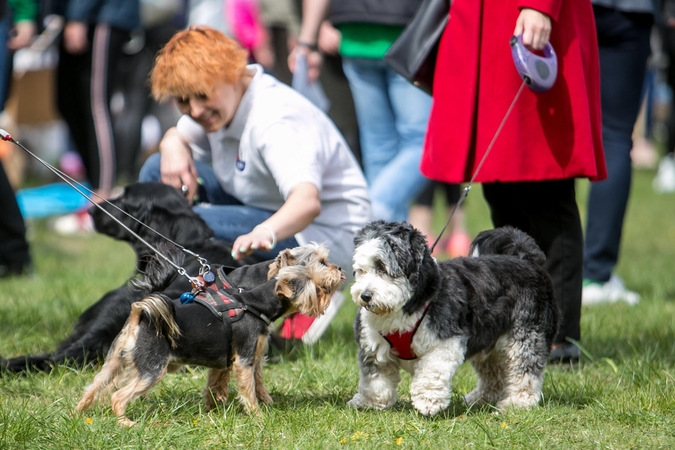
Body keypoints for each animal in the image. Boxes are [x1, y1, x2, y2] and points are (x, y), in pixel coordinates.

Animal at [76, 243, 346, 426]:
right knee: (117, 396)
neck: (253, 300)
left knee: (94, 385)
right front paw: (258, 416)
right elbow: (249, 388)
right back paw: (126, 422)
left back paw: (78, 413)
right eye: (321, 264)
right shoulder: (245, 359)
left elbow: (219, 385)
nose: (340, 268)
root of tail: (139, 314)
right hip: (151, 369)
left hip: (114, 361)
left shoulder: (230, 358)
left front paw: (214, 411)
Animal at [348, 221, 560, 414]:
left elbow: (431, 372)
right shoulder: (373, 345)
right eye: (361, 270)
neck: (404, 307)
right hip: (488, 342)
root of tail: (527, 259)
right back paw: (479, 399)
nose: (365, 296)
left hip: (527, 335)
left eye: (382, 267)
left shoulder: (445, 342)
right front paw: (369, 402)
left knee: (526, 371)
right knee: (494, 376)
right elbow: (375, 379)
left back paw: (518, 403)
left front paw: (429, 402)